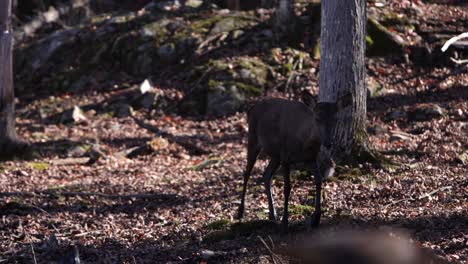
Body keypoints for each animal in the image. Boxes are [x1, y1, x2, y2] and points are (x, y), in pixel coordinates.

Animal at [238, 91, 340, 231]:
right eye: (317, 118)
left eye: (336, 119)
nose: (328, 143)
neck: (305, 142)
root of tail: (251, 109)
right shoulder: (286, 158)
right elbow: (287, 188)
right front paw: (285, 223)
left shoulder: (311, 158)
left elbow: (319, 180)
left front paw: (316, 218)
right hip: (253, 139)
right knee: (247, 173)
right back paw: (240, 211)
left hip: (276, 155)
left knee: (266, 175)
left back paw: (272, 214)